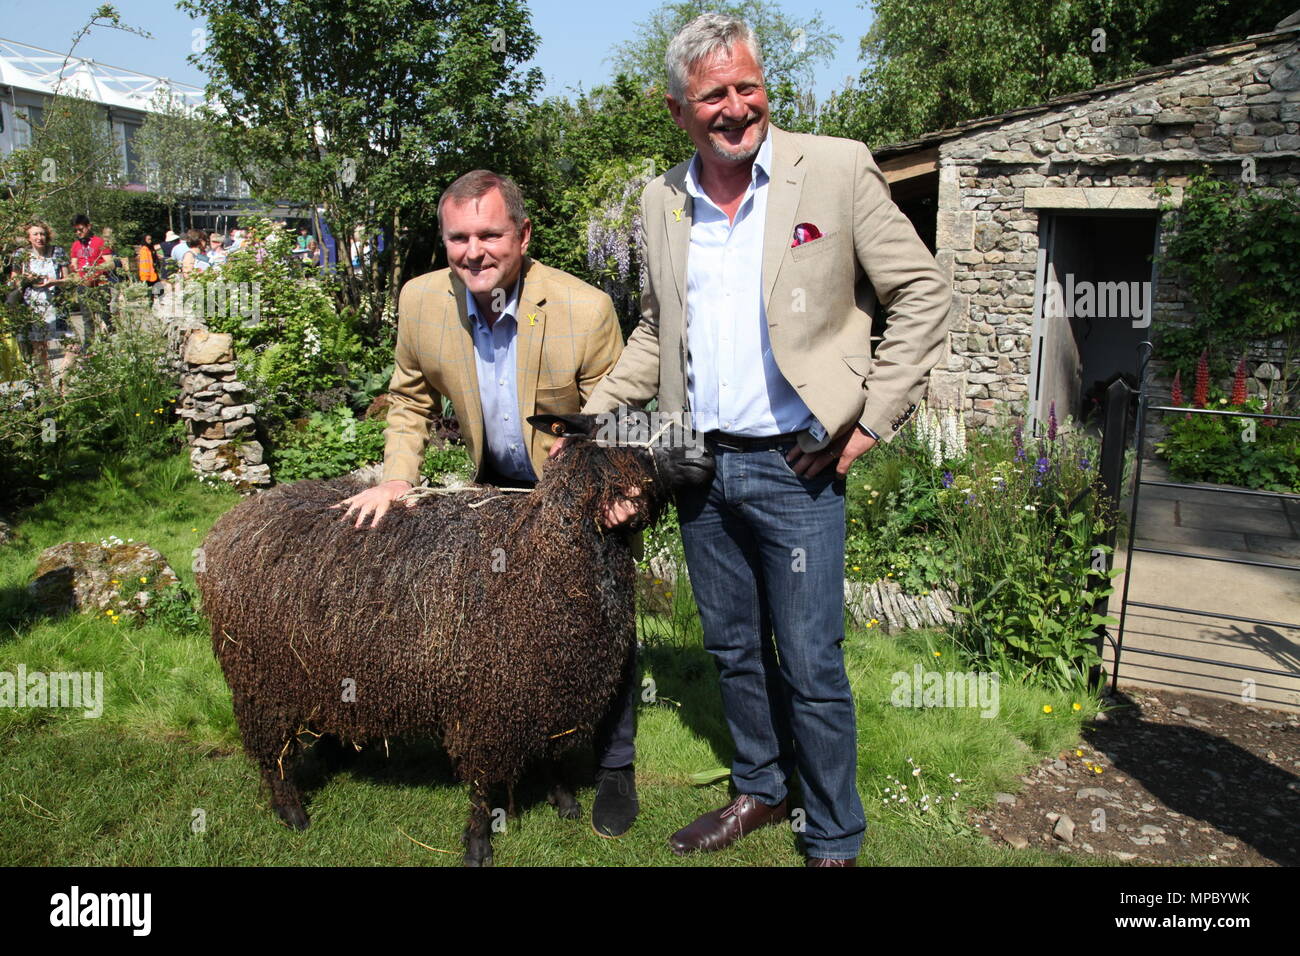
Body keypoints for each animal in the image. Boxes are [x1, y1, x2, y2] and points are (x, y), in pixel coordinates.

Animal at [197, 411, 717, 868]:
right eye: (628, 424)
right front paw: (478, 843)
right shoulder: (487, 699)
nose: (705, 455)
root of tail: (232, 520)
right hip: (258, 678)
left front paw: (565, 801)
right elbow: (483, 783)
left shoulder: (552, 683)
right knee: (271, 752)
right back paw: (291, 811)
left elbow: (553, 749)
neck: (542, 556)